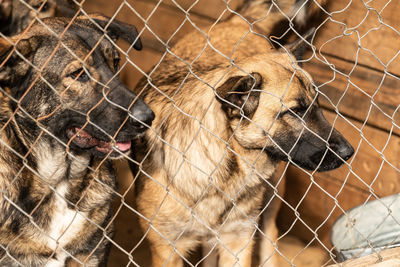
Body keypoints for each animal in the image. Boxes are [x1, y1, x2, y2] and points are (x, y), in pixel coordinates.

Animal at [133, 1, 342, 266]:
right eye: (294, 112)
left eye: (317, 104)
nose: (349, 152)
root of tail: (235, 21)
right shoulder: (166, 251)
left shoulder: (238, 240)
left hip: (270, 202)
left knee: (269, 237)